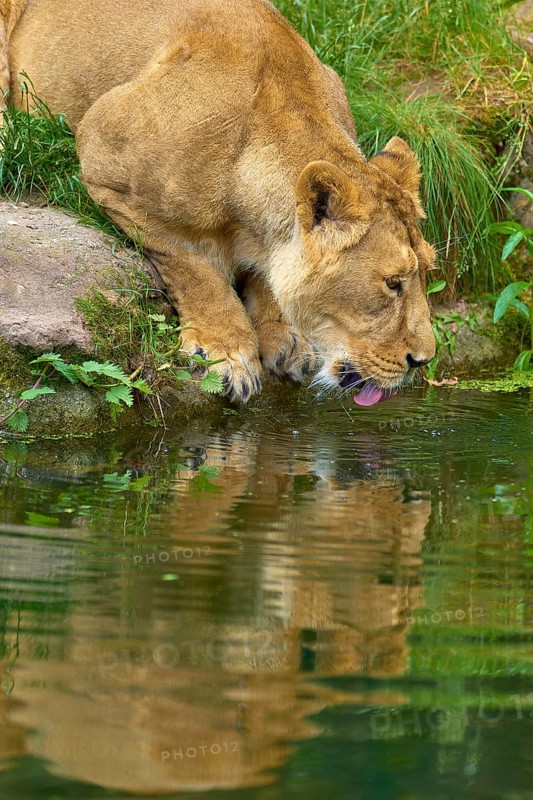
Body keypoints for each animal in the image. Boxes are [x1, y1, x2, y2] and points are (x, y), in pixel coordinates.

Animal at [3, 0, 436, 403]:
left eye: (426, 272)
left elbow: (268, 275)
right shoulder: (102, 161)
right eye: (392, 283)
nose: (423, 361)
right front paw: (228, 353)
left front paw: (286, 336)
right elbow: (194, 266)